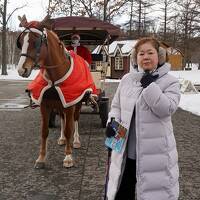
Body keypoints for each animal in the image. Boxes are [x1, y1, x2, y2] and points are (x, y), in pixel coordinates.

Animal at [16, 16, 97, 169]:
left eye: (36, 41)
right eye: (21, 41)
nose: (21, 70)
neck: (54, 78)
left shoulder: (70, 104)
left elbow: (69, 129)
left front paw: (68, 156)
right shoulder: (45, 105)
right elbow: (44, 131)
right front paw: (41, 158)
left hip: (77, 103)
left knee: (75, 120)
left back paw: (75, 140)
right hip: (59, 105)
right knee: (63, 119)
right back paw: (62, 139)